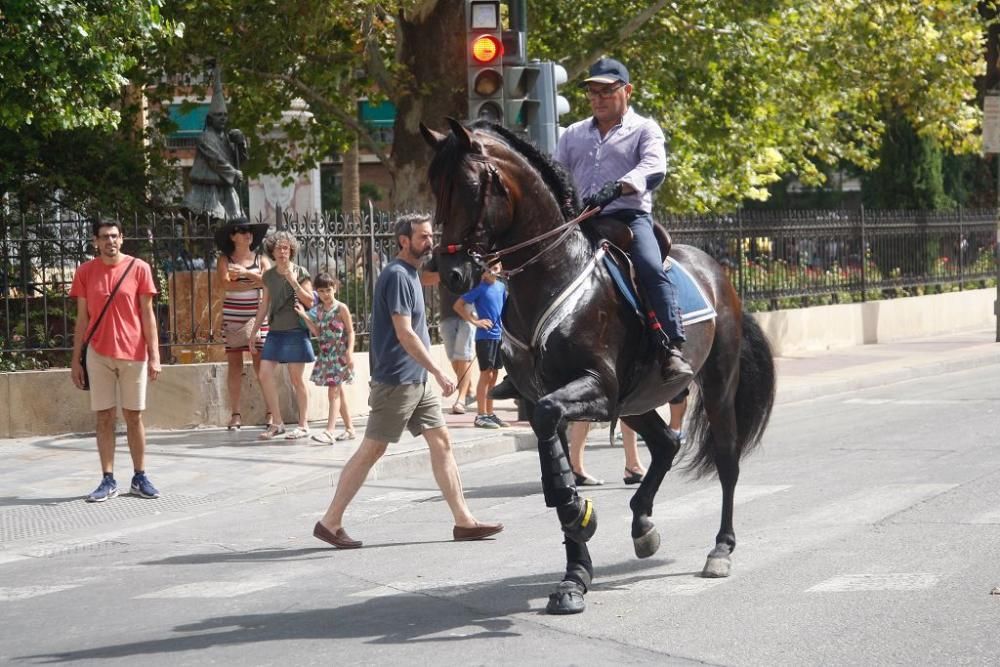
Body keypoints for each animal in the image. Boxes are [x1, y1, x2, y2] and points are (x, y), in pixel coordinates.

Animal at [418, 118, 776, 616]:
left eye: (470, 187)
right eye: (435, 186)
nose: (450, 272)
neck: (553, 276)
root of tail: (716, 270)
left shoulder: (596, 387)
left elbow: (552, 436)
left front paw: (578, 514)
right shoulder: (551, 395)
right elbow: (553, 459)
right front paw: (575, 574)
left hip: (717, 388)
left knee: (726, 460)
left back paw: (721, 548)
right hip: (635, 401)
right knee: (667, 442)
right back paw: (643, 525)